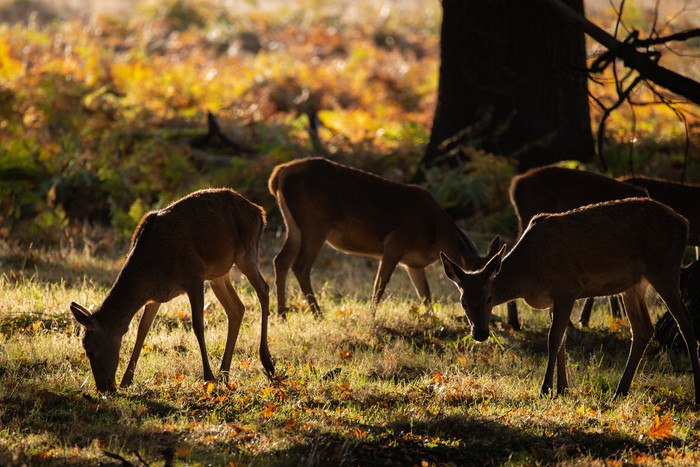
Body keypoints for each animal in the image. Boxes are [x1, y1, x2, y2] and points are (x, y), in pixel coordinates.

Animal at [69, 188, 274, 394]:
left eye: (89, 350)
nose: (103, 387)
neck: (151, 269)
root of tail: (260, 212)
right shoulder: (156, 296)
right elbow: (142, 329)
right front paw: (126, 380)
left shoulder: (194, 276)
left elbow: (198, 325)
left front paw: (208, 377)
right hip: (218, 274)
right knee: (237, 308)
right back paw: (225, 374)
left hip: (246, 253)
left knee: (264, 290)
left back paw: (267, 363)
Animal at [266, 158, 500, 318]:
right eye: (465, 296)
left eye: (490, 290)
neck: (435, 235)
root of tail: (278, 174)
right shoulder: (395, 242)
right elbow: (380, 285)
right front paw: (371, 316)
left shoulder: (414, 264)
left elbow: (425, 295)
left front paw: (433, 320)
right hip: (315, 223)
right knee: (300, 265)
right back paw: (317, 313)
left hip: (293, 225)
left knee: (281, 260)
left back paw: (282, 313)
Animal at [442, 199, 700, 404]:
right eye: (463, 302)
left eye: (489, 298)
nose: (480, 333)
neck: (529, 272)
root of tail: (685, 224)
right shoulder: (552, 300)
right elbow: (562, 340)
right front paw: (563, 389)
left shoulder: (567, 288)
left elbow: (553, 339)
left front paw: (546, 389)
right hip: (634, 285)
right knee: (643, 329)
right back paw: (620, 391)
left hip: (664, 269)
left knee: (686, 324)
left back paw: (696, 393)